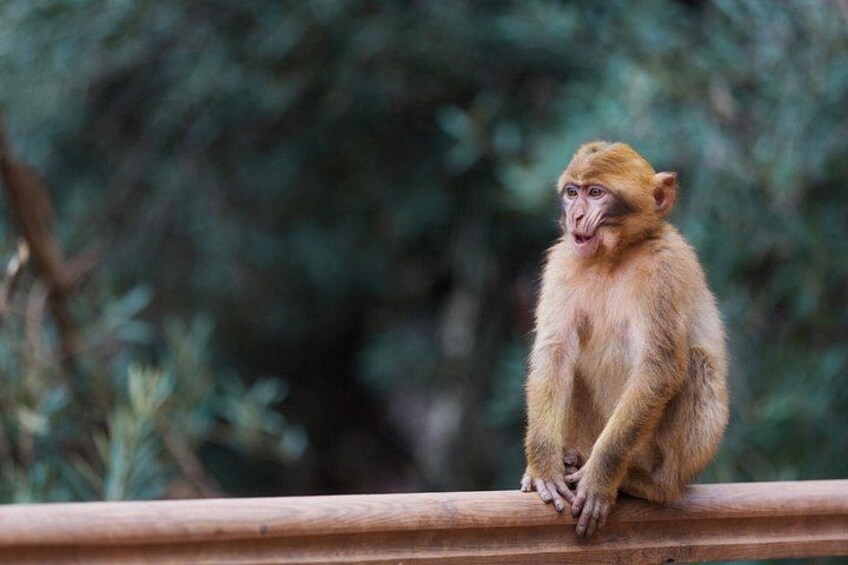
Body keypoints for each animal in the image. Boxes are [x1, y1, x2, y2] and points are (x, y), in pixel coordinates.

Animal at [519, 141, 728, 538]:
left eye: (596, 193)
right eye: (573, 193)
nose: (576, 217)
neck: (612, 256)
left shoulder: (664, 270)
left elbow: (659, 368)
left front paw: (599, 480)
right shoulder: (562, 261)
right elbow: (554, 353)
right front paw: (544, 467)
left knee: (696, 364)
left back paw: (649, 483)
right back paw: (569, 458)